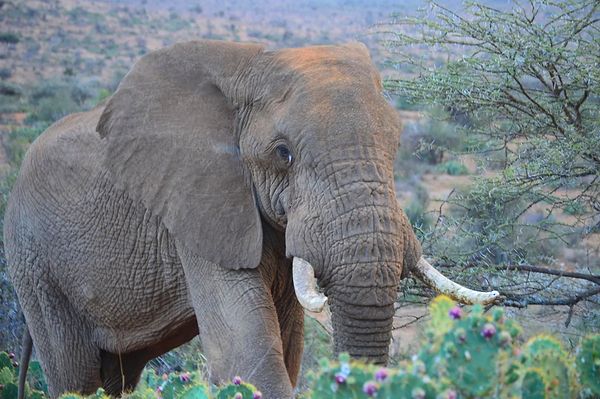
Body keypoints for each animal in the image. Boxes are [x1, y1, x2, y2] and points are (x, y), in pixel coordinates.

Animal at [4, 40, 496, 399]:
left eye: (396, 144)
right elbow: (244, 354)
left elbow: (287, 346)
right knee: (75, 376)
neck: (252, 63)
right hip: (35, 263)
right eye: (283, 153)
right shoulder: (199, 204)